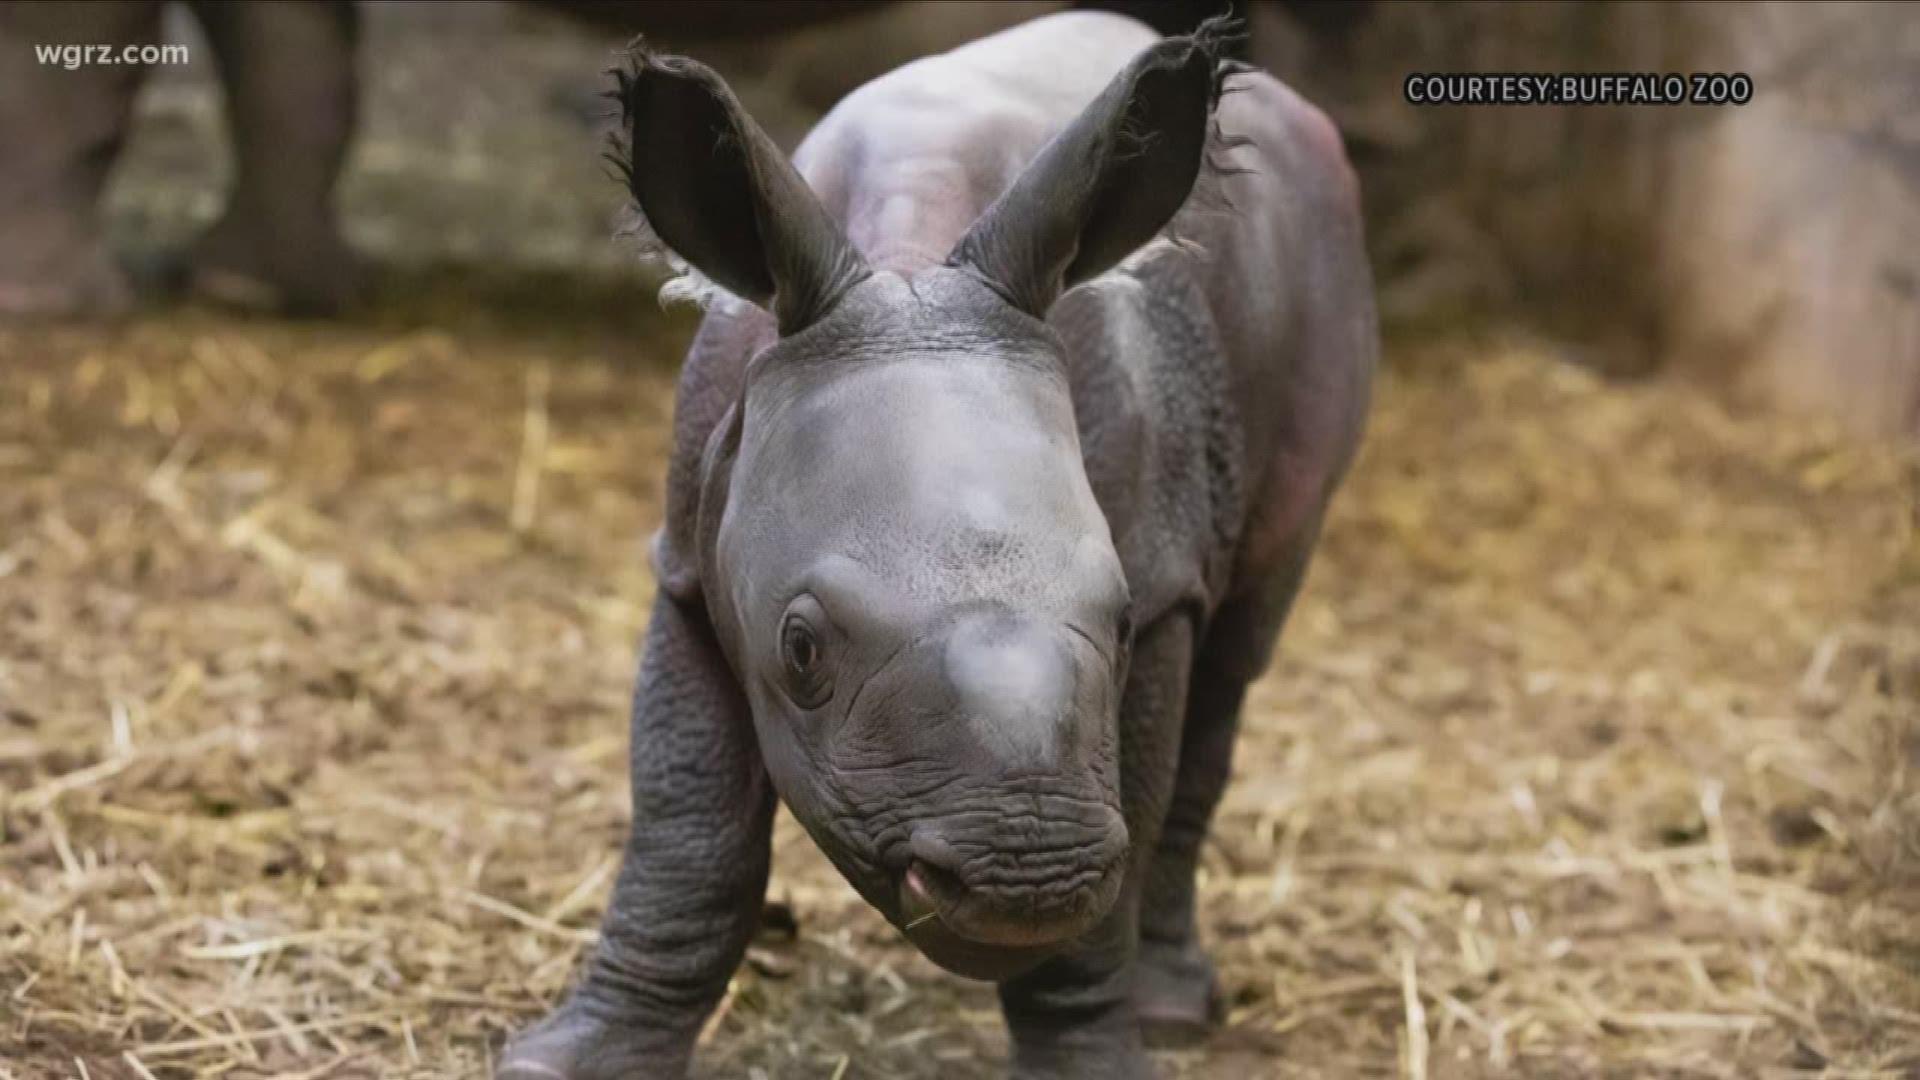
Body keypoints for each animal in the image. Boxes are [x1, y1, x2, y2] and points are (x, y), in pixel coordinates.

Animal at [502, 11, 1375, 1078]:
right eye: (800, 649)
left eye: (1122, 623)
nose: (1025, 873)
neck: (908, 259)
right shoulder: (687, 564)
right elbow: (688, 835)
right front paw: (569, 1060)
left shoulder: (1162, 574)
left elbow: (1120, 854)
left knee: (1238, 652)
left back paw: (1170, 1009)